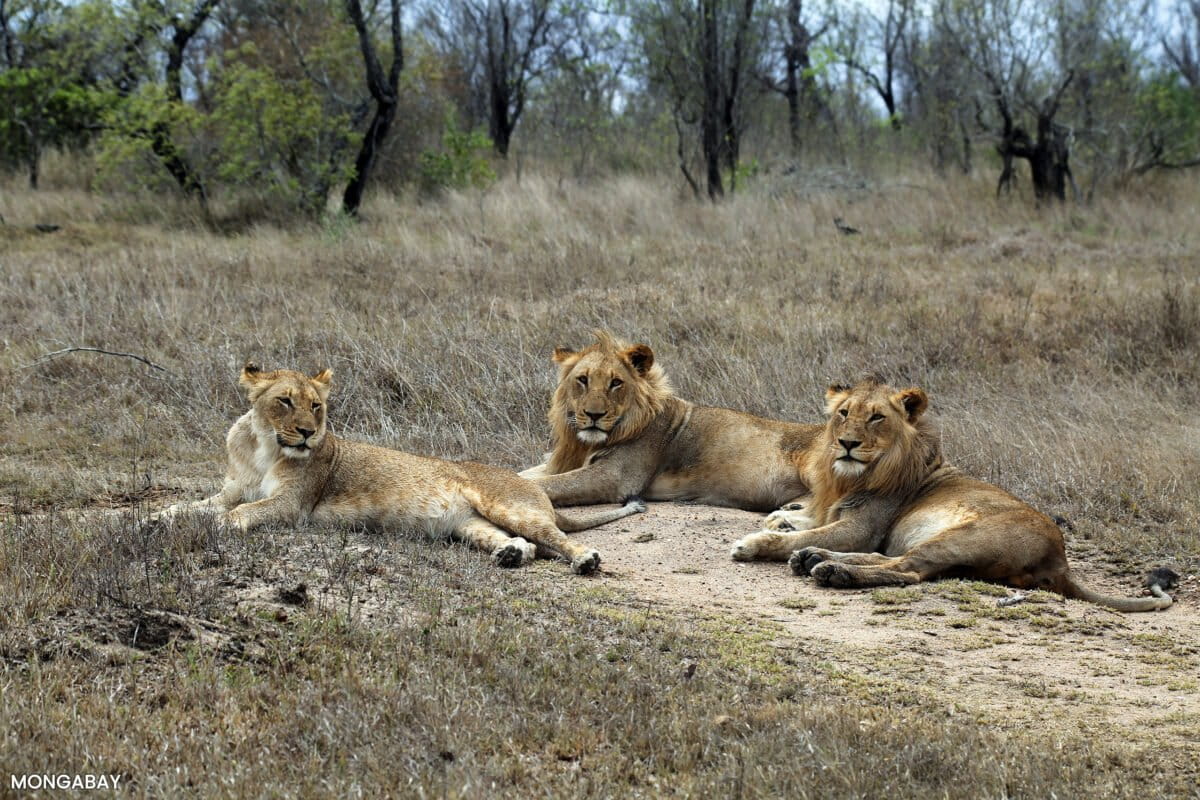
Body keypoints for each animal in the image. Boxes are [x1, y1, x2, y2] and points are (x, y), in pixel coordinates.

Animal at [155, 364, 645, 573]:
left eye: (317, 406)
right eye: (285, 402)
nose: (309, 434)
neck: (263, 444)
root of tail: (536, 489)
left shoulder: (293, 504)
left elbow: (239, 514)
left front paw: (213, 526)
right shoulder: (233, 488)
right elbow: (196, 504)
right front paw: (156, 518)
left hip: (509, 505)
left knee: (555, 538)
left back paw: (584, 560)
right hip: (469, 524)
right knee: (524, 544)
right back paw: (509, 554)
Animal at [519, 330, 823, 511]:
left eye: (616, 383)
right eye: (582, 380)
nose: (595, 415)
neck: (583, 443)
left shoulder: (616, 476)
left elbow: (548, 484)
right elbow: (526, 475)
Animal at [729, 378, 1175, 612]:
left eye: (877, 417)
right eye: (844, 413)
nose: (846, 443)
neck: (852, 476)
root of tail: (1061, 559)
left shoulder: (861, 527)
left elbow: (794, 535)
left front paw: (753, 543)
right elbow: (802, 521)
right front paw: (785, 520)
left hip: (964, 536)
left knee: (907, 569)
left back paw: (830, 570)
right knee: (893, 560)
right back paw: (814, 559)